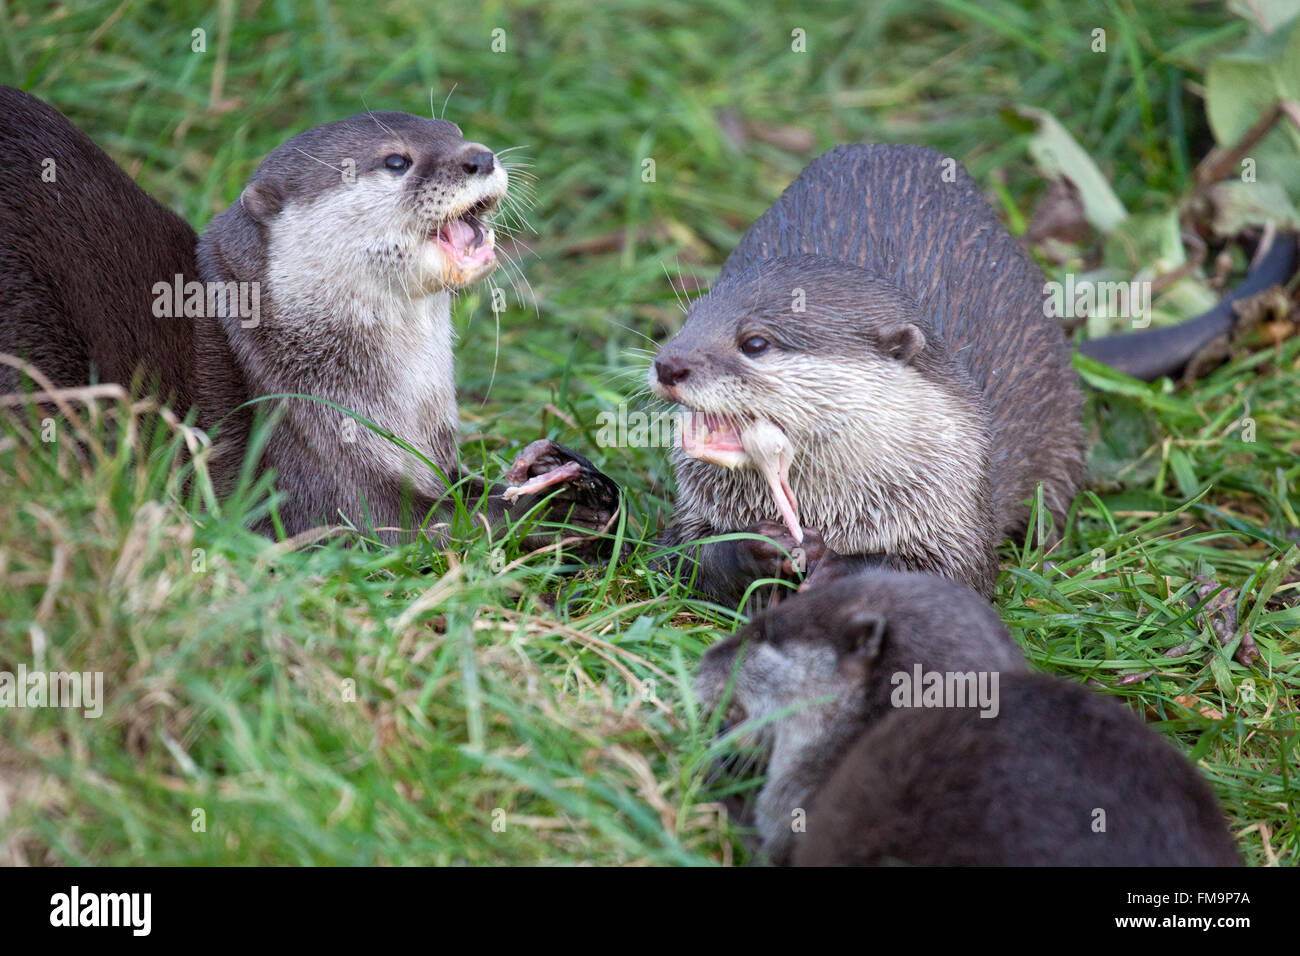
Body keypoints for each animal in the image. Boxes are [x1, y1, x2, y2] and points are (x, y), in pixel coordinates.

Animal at [0, 86, 615, 542]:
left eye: (457, 132)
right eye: (397, 160)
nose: (480, 157)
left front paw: (563, 469)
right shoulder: (315, 462)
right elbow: (405, 523)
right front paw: (555, 506)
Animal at [651, 144, 1294, 605]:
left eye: (754, 342)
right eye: (689, 319)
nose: (667, 364)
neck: (837, 507)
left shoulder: (953, 498)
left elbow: (958, 573)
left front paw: (839, 565)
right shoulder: (691, 511)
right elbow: (675, 556)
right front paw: (755, 546)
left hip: (1062, 427)